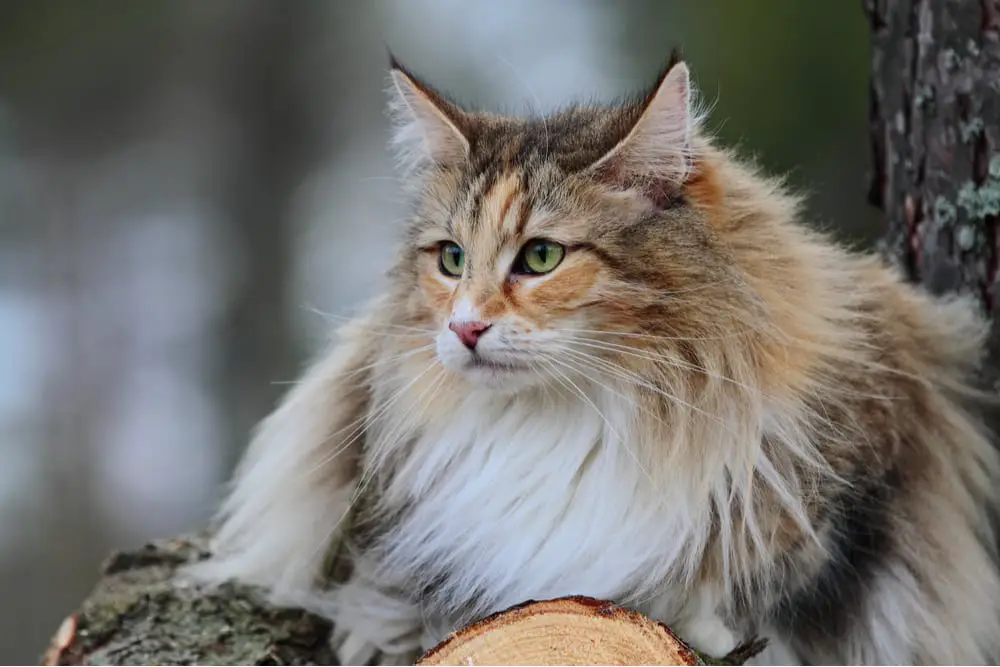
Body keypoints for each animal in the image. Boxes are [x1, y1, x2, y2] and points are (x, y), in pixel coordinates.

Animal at [186, 53, 1000, 667]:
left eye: (541, 257)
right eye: (451, 259)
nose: (465, 327)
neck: (575, 421)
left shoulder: (864, 468)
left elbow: (765, 586)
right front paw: (384, 630)